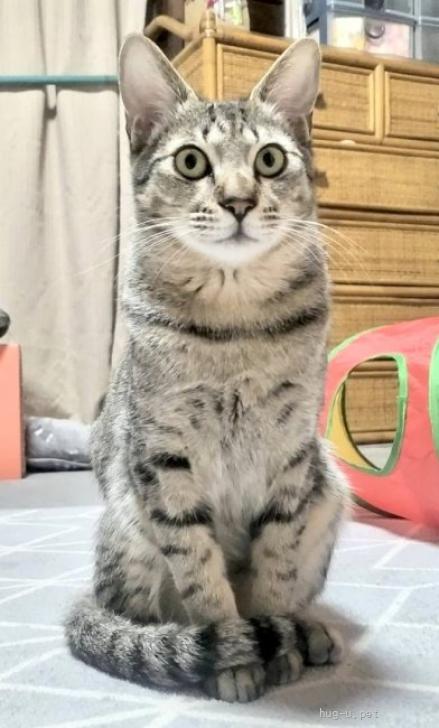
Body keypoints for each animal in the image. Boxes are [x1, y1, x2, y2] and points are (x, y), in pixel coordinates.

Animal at [65, 34, 350, 703]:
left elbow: (276, 567)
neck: (235, 324)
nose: (239, 200)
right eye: (192, 162)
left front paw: (280, 642)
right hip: (128, 523)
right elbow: (202, 574)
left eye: (269, 160)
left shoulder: (291, 455)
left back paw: (308, 630)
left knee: (299, 588)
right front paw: (236, 658)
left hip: (329, 487)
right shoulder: (163, 459)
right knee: (138, 616)